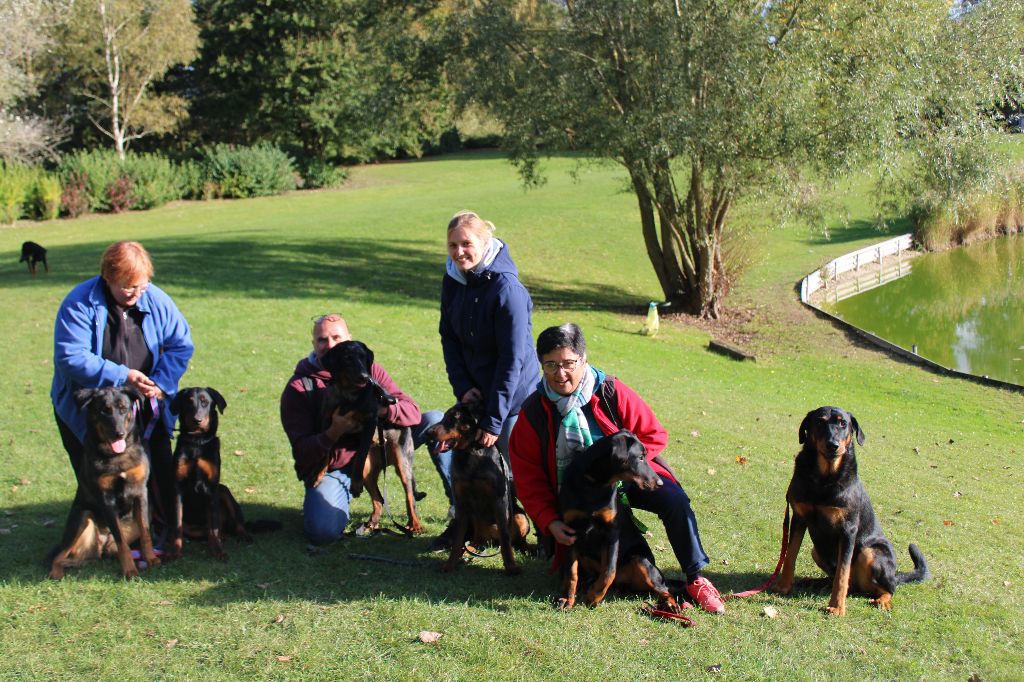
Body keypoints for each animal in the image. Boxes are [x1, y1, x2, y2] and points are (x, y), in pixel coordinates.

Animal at [47, 385, 159, 577]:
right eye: (104, 411)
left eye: (123, 409)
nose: (119, 433)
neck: (117, 455)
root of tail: (103, 541)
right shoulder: (106, 499)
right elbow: (122, 542)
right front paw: (129, 571)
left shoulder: (140, 492)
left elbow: (145, 533)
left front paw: (151, 559)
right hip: (81, 517)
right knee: (59, 556)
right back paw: (56, 573)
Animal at [323, 337, 428, 532]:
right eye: (347, 358)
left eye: (363, 357)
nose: (365, 377)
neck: (350, 394)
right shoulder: (327, 421)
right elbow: (324, 448)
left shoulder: (370, 422)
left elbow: (359, 453)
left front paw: (354, 485)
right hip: (368, 471)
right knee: (379, 499)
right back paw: (371, 524)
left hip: (403, 464)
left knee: (409, 497)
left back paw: (415, 525)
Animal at [428, 399, 532, 573]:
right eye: (444, 417)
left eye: (452, 418)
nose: (429, 432)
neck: (470, 453)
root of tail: (492, 542)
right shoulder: (461, 501)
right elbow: (458, 540)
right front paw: (450, 564)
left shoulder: (499, 500)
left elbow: (505, 539)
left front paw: (511, 566)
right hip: (473, 521)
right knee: (474, 541)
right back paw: (469, 552)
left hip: (519, 516)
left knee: (515, 541)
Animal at [557, 430, 684, 610]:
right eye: (640, 457)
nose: (659, 483)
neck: (593, 485)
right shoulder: (569, 531)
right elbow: (571, 572)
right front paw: (567, 598)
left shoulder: (612, 532)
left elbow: (609, 570)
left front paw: (594, 596)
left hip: (641, 560)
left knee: (664, 588)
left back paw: (670, 604)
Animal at [770, 405, 933, 614]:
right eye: (819, 422)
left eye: (843, 423)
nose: (833, 445)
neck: (824, 479)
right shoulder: (798, 517)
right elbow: (790, 555)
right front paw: (783, 586)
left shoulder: (848, 529)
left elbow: (843, 571)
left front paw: (837, 607)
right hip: (816, 551)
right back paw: (815, 582)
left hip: (870, 552)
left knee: (887, 587)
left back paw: (883, 600)